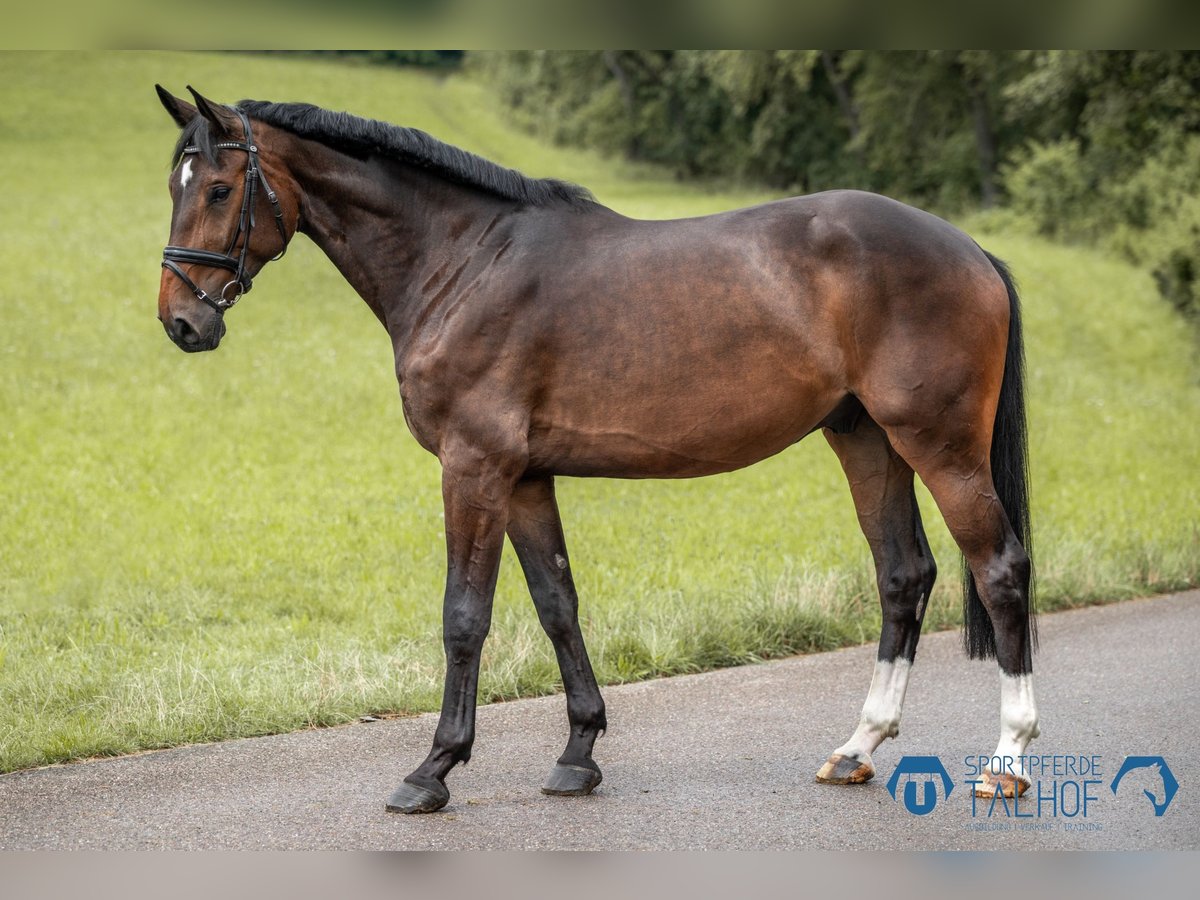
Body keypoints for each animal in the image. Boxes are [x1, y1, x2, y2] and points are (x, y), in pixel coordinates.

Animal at [154, 88, 1036, 816]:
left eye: (220, 188)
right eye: (176, 185)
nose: (181, 323)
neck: (464, 260)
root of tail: (970, 251)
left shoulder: (474, 468)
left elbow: (464, 617)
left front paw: (434, 768)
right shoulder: (525, 478)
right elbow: (558, 605)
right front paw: (578, 754)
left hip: (940, 445)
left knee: (999, 569)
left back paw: (1009, 759)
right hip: (867, 439)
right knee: (903, 575)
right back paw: (858, 747)